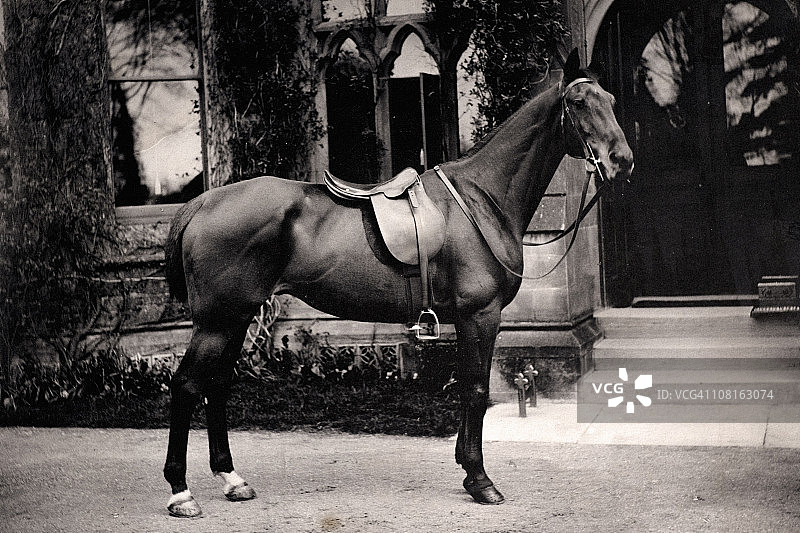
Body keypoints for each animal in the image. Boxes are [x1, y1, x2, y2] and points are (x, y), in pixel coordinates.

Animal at [161, 49, 633, 517]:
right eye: (578, 103)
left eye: (610, 99)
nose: (621, 160)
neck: (481, 199)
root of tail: (202, 202)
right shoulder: (480, 316)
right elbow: (476, 389)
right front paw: (480, 479)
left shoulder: (470, 320)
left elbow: (468, 389)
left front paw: (466, 467)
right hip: (217, 322)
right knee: (185, 386)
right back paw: (181, 492)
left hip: (238, 317)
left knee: (217, 385)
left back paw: (231, 479)